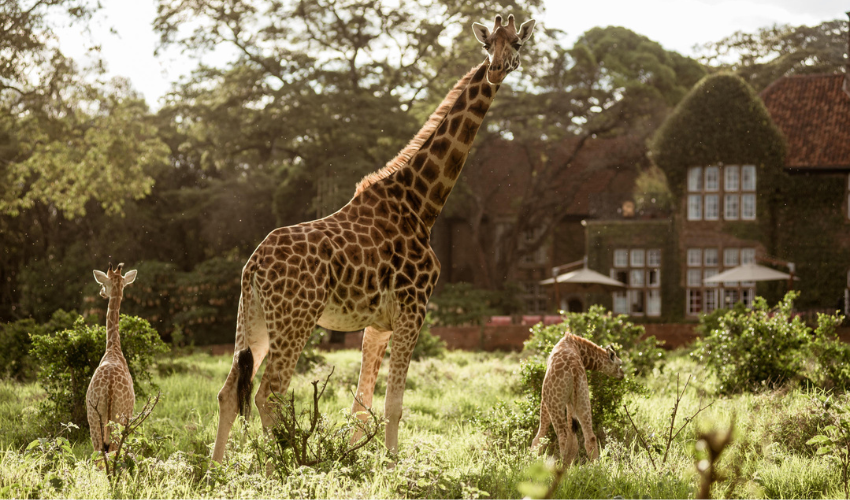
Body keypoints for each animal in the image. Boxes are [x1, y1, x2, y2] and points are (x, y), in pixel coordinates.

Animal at [85, 264, 136, 456]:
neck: (113, 348)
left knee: (100, 454)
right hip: (116, 419)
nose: (101, 292)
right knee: (111, 452)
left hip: (95, 419)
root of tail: (110, 387)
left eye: (103, 284)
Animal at [212, 14, 532, 460]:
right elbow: (393, 404)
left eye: (516, 43)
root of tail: (252, 267)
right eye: (489, 46)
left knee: (229, 392)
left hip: (253, 319)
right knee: (267, 393)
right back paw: (290, 463)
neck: (421, 203)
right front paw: (394, 465)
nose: (498, 67)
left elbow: (361, 405)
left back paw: (217, 469)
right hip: (295, 318)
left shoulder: (378, 323)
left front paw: (357, 460)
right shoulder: (414, 308)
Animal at [528, 330, 624, 466]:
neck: (577, 346)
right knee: (589, 436)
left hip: (554, 401)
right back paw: (595, 467)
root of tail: (573, 370)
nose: (622, 374)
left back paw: (561, 466)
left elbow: (540, 435)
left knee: (563, 435)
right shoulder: (570, 401)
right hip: (583, 396)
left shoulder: (545, 398)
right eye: (620, 364)